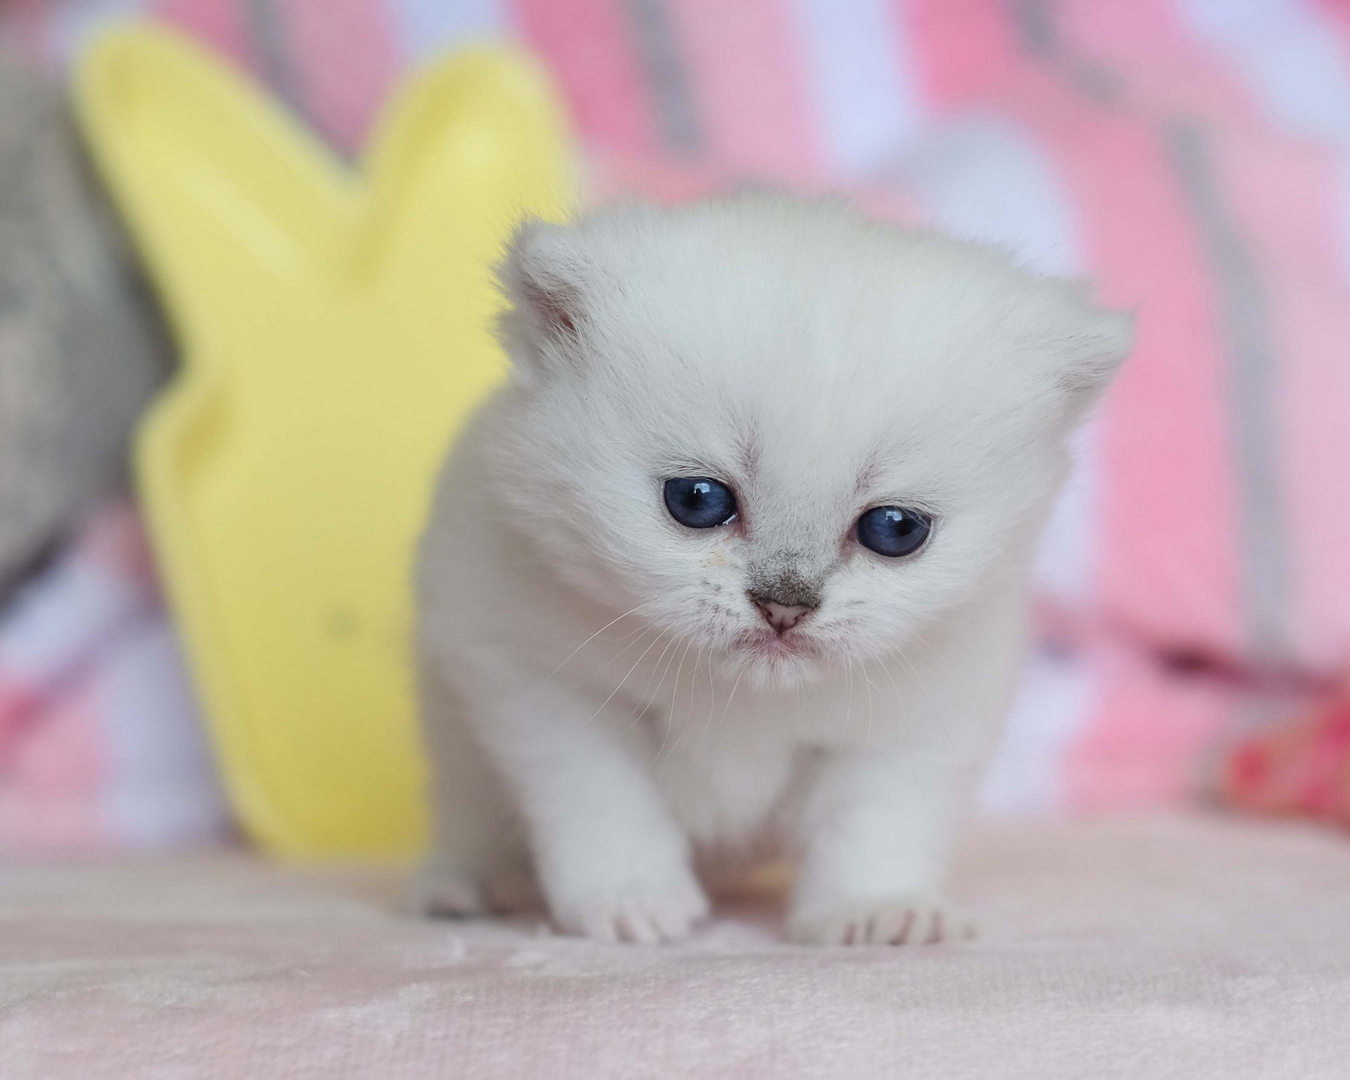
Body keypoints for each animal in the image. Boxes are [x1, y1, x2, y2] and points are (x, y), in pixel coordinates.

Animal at [413, 194, 1128, 945]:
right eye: (697, 500)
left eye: (895, 529)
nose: (786, 603)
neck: (744, 697)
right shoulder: (538, 682)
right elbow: (601, 801)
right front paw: (631, 898)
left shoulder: (926, 713)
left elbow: (878, 820)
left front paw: (878, 908)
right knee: (467, 816)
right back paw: (462, 886)